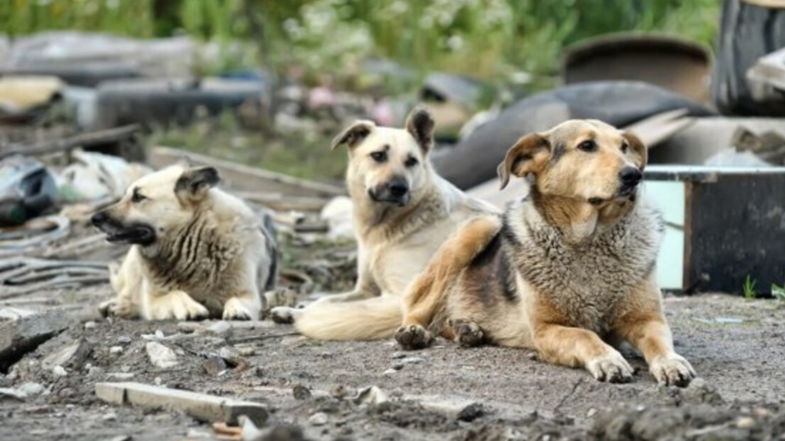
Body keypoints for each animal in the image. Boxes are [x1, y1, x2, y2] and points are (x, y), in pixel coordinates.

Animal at [92, 163, 278, 318]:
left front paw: (237, 309)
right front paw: (190, 307)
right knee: (127, 294)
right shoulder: (155, 300)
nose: (94, 219)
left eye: (138, 197)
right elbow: (176, 293)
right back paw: (118, 306)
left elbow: (236, 299)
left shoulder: (248, 293)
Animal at [272, 108, 496, 338]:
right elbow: (327, 300)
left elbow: (339, 309)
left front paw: (300, 314)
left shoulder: (398, 294)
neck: (383, 230)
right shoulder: (364, 290)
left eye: (412, 161)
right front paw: (292, 310)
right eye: (378, 155)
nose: (399, 188)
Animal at [396, 117, 696, 384]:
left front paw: (671, 362)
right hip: (480, 226)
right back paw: (414, 331)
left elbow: (660, 343)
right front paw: (608, 359)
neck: (590, 241)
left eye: (624, 147)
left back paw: (466, 328)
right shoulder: (546, 329)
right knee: (419, 307)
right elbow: (585, 336)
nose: (634, 174)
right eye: (587, 145)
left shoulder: (647, 319)